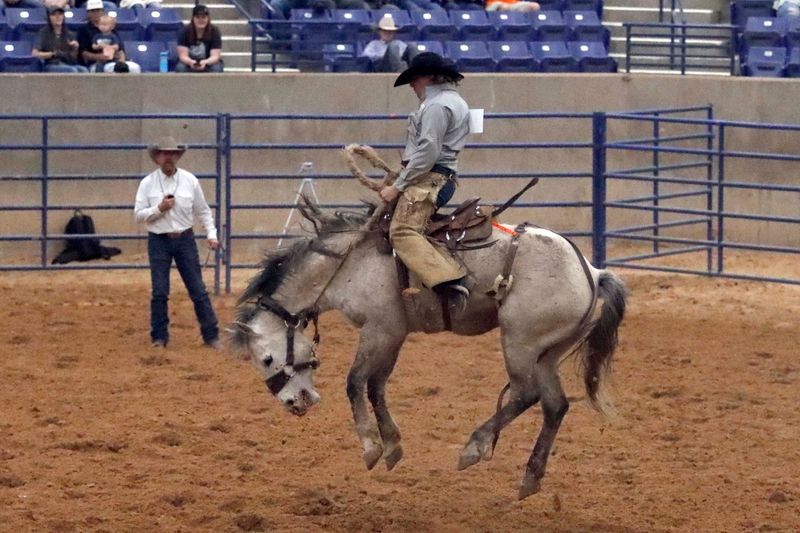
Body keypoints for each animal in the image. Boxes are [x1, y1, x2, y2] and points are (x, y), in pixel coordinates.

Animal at [230, 187, 627, 499]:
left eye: (265, 359)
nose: (295, 404)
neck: (346, 264)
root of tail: (591, 271)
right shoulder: (393, 333)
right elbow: (376, 386)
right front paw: (392, 446)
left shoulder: (380, 329)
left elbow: (356, 382)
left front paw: (371, 447)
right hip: (548, 352)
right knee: (555, 405)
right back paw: (530, 477)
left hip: (520, 342)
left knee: (526, 394)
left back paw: (474, 447)